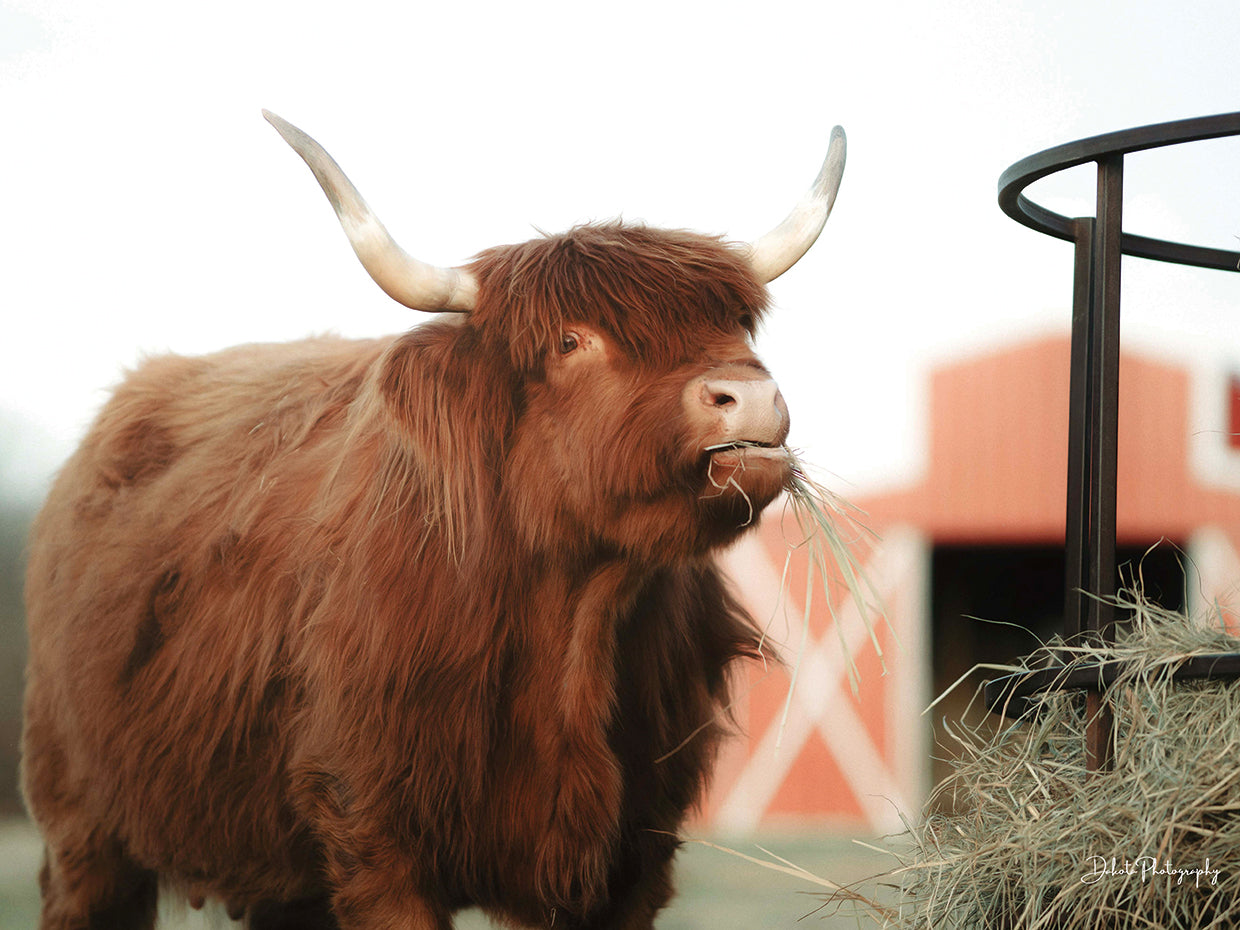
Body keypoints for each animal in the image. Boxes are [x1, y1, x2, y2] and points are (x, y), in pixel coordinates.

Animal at [20, 110, 845, 930]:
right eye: (570, 339)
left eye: (737, 323)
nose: (749, 396)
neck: (575, 622)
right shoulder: (376, 837)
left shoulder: (631, 860)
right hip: (82, 832)